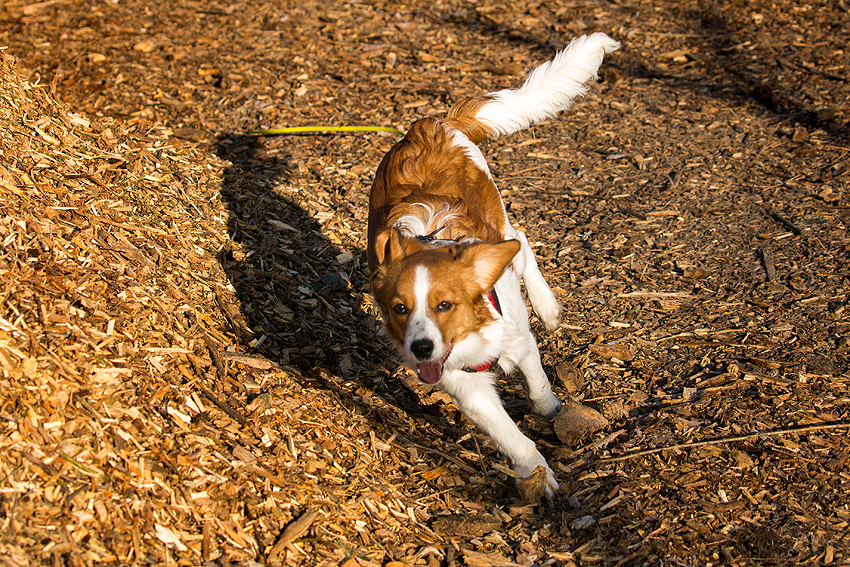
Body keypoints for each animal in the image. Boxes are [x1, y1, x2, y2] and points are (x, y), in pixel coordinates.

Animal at [364, 34, 616, 496]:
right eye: (399, 309)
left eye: (445, 304)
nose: (420, 347)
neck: (471, 332)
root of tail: (432, 124)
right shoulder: (462, 384)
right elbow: (509, 435)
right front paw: (537, 473)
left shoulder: (519, 341)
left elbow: (538, 388)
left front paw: (552, 415)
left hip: (498, 215)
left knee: (522, 243)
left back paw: (549, 309)